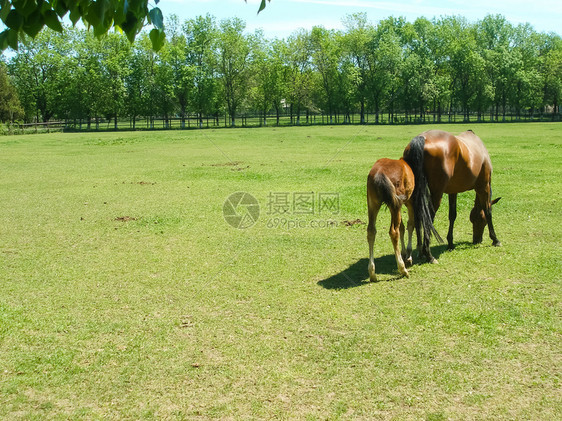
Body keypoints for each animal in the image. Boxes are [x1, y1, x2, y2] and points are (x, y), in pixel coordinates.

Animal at [402, 129, 498, 262]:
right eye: (480, 219)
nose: (476, 240)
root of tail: (422, 138)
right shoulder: (484, 187)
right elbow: (488, 211)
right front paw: (495, 239)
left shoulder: (453, 191)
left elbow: (452, 215)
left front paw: (450, 243)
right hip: (437, 194)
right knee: (428, 218)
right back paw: (428, 254)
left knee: (417, 217)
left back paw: (420, 252)